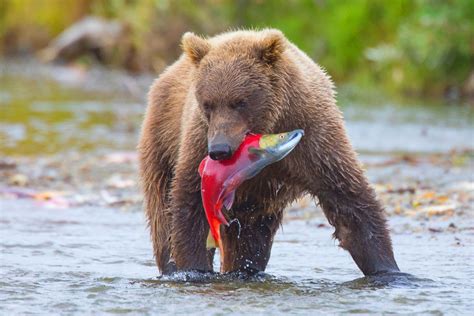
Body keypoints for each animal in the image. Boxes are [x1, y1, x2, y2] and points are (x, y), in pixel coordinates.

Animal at [138, 29, 400, 276]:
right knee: (162, 211)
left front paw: (388, 270)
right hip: (162, 141)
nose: (219, 150)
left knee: (250, 237)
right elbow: (189, 206)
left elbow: (350, 202)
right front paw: (192, 268)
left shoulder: (315, 139)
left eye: (239, 101)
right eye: (207, 104)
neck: (270, 124)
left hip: (255, 200)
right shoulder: (198, 140)